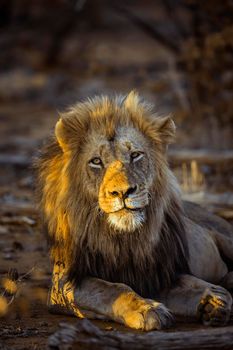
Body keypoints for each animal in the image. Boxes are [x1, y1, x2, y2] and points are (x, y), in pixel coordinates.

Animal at [35, 91, 233, 330]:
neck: (125, 239)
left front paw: (214, 299)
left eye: (135, 155)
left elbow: (192, 284)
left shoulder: (160, 273)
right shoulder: (65, 284)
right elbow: (112, 289)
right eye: (96, 161)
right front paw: (147, 310)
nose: (122, 192)